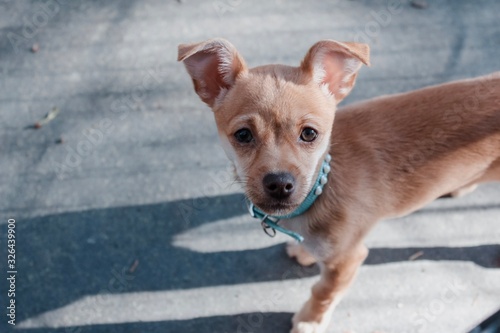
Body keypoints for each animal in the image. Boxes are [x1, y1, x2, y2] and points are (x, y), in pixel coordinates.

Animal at [177, 39, 500, 332]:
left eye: (309, 134)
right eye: (243, 135)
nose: (280, 184)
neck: (322, 186)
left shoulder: (347, 260)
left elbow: (323, 292)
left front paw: (310, 321)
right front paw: (306, 252)